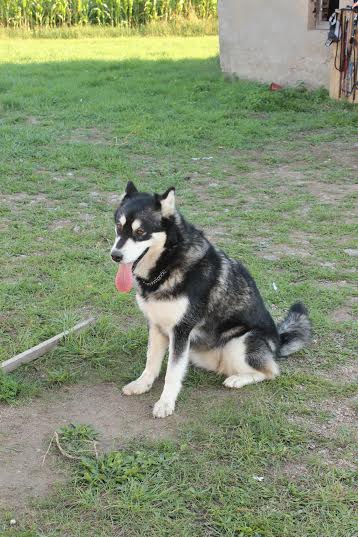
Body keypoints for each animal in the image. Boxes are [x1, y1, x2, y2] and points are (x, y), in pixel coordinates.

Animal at [110, 182, 312, 416]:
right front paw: (142, 384)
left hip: (239, 343)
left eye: (140, 232)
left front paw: (166, 402)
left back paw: (237, 379)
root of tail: (279, 341)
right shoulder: (157, 325)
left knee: (270, 371)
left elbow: (172, 373)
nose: (115, 255)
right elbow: (151, 361)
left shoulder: (181, 330)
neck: (169, 264)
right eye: (118, 226)